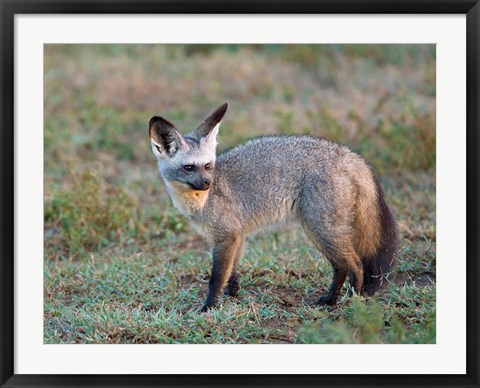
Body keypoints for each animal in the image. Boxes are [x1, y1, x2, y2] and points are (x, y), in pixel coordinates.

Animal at [150, 103, 398, 312]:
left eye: (208, 166)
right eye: (189, 167)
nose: (207, 183)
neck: (200, 201)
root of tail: (352, 157)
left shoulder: (226, 237)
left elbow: (216, 278)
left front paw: (208, 307)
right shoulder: (237, 236)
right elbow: (233, 273)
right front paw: (232, 296)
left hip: (321, 230)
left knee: (355, 265)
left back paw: (353, 300)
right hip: (320, 232)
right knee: (340, 267)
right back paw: (330, 300)